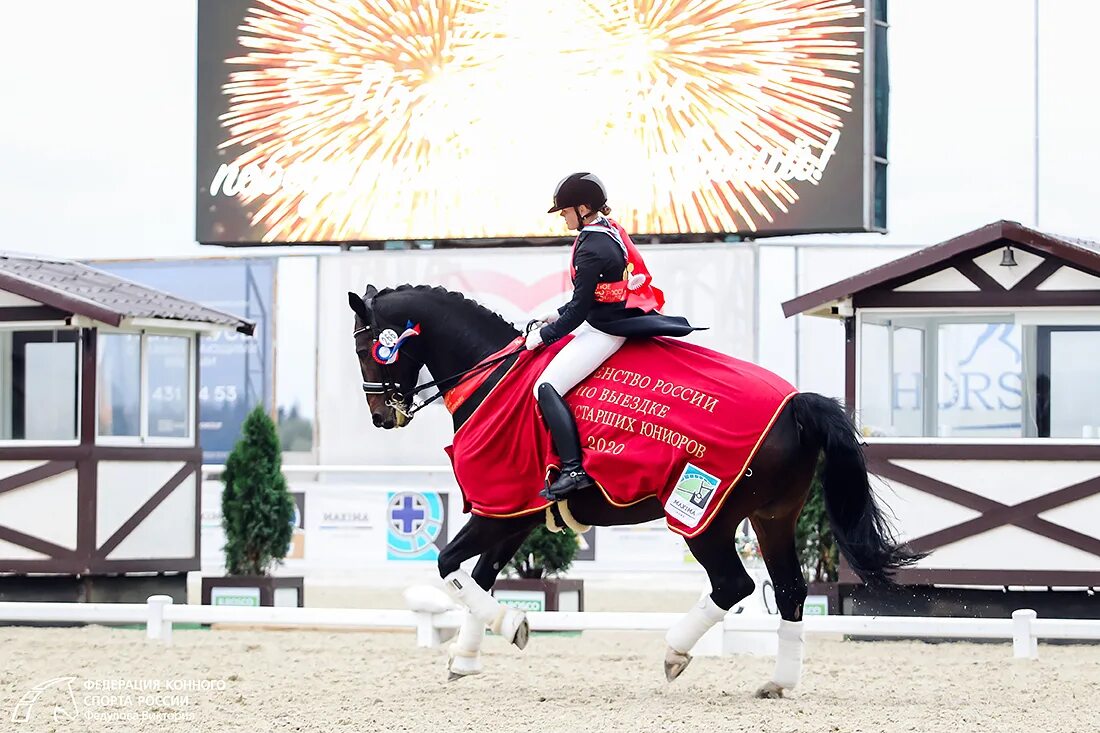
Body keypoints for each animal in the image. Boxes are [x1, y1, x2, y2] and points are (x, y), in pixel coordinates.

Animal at [347, 281, 924, 695]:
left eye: (368, 348)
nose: (380, 416)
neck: (493, 374)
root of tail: (798, 405)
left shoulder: (499, 507)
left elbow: (450, 566)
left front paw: (510, 627)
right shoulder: (516, 512)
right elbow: (483, 577)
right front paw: (466, 658)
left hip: (704, 516)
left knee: (733, 586)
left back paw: (674, 654)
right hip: (773, 517)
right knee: (789, 590)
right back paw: (778, 683)